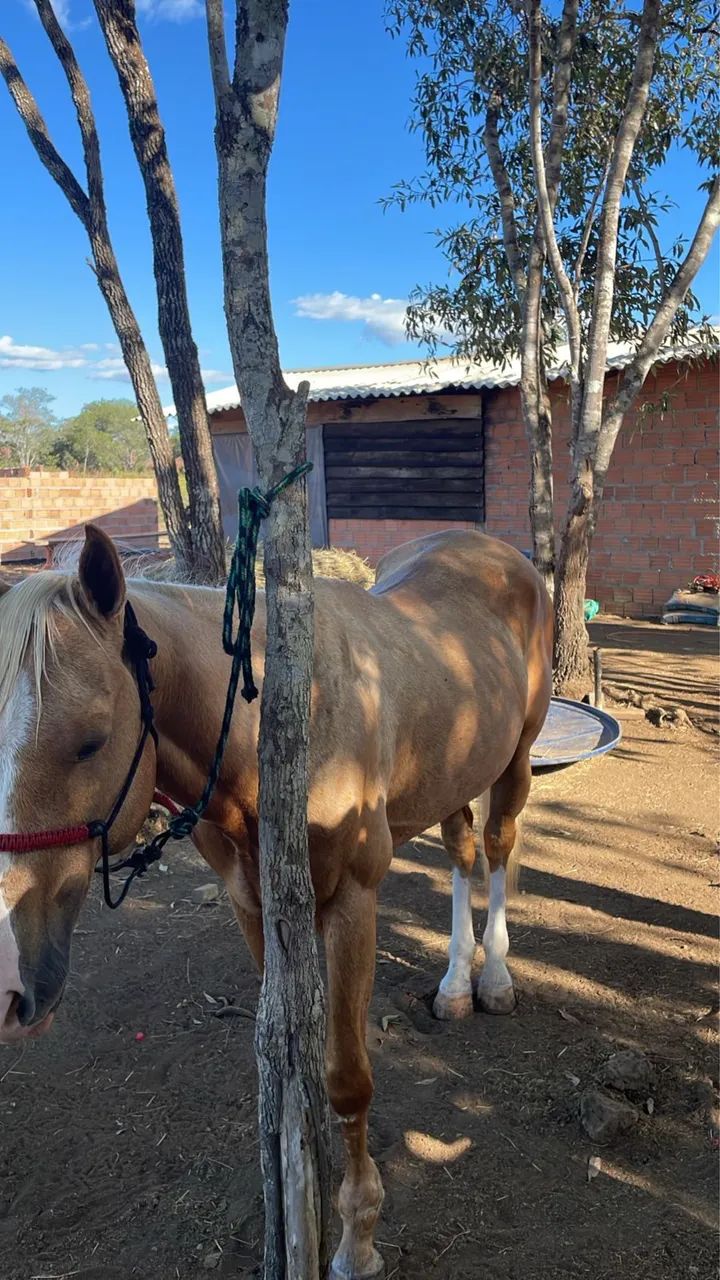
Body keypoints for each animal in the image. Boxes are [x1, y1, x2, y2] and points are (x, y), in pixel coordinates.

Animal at [0, 524, 552, 1280]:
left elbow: (347, 1078)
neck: (272, 736)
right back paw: (454, 986)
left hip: (516, 757)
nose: (7, 981)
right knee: (463, 852)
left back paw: (492, 978)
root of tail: (489, 546)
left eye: (90, 741)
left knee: (496, 849)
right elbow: (290, 1062)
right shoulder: (255, 909)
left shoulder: (352, 905)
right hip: (455, 767)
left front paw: (357, 1238)